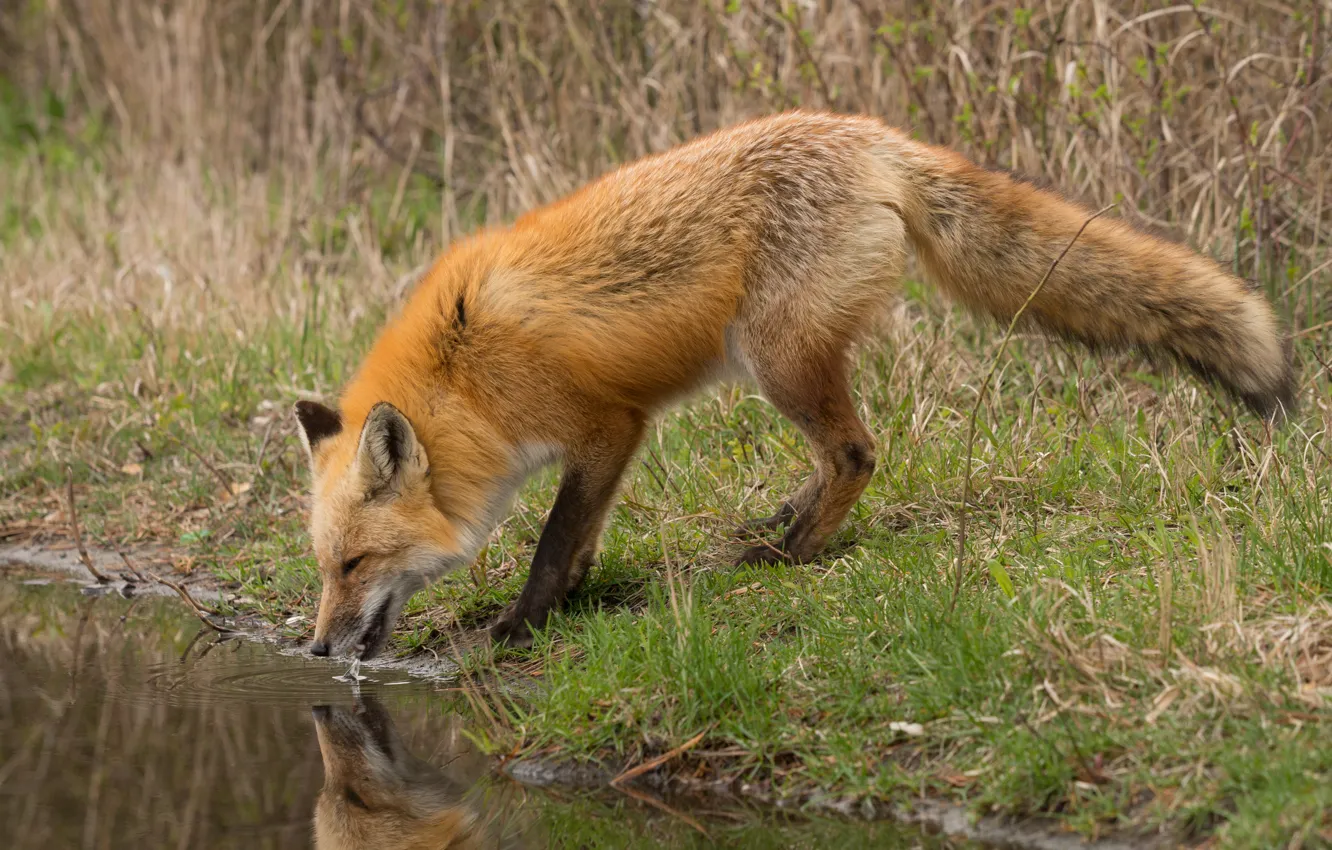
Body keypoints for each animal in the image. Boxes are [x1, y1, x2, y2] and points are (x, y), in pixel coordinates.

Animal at [291, 109, 1289, 655]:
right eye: (324, 567)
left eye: (354, 565)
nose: (318, 647)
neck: (461, 376)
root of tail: (869, 134)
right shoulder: (597, 439)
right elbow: (571, 541)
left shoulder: (609, 426)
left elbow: (554, 542)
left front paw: (521, 626)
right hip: (771, 359)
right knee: (833, 456)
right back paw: (784, 521)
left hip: (776, 356)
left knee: (856, 452)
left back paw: (793, 552)